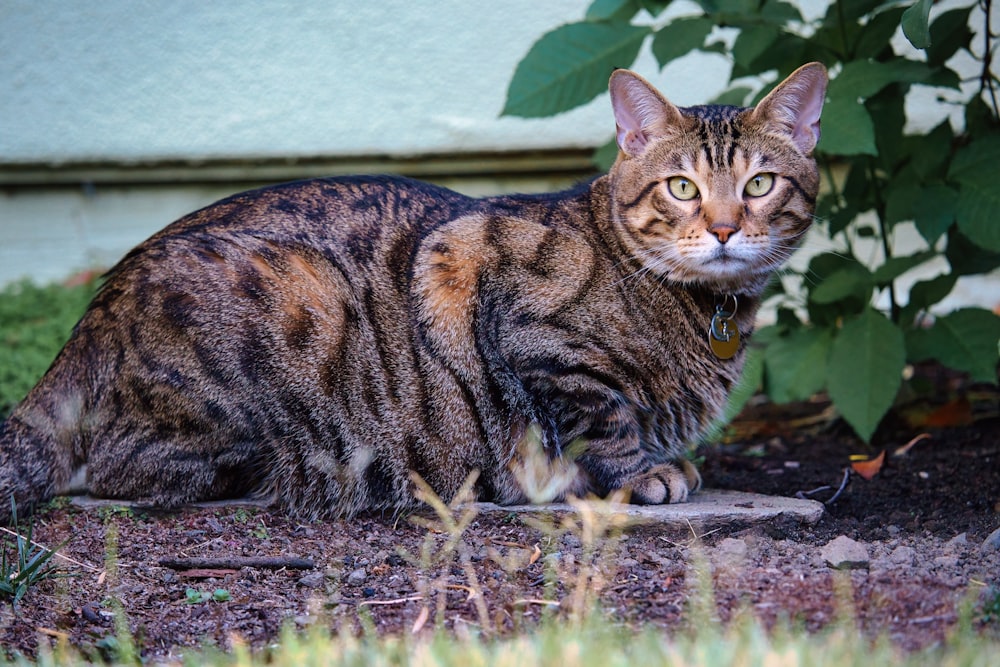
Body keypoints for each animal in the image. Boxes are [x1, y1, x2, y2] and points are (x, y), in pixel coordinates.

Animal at [0, 64, 828, 520]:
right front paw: (643, 470)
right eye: (682, 187)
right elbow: (603, 415)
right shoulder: (509, 305)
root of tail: (93, 316)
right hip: (292, 307)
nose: (724, 227)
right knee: (123, 466)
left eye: (759, 183)